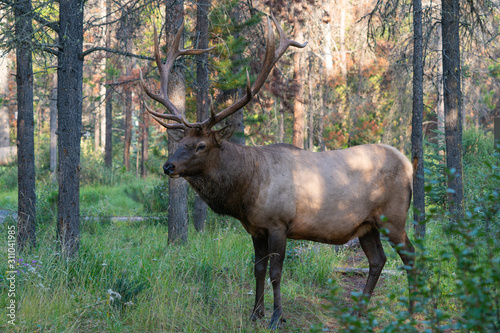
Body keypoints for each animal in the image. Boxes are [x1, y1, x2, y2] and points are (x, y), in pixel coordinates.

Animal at [140, 13, 414, 330]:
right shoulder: (255, 228)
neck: (246, 189)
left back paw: (412, 310)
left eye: (200, 145)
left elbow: (276, 272)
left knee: (410, 256)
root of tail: (409, 164)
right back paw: (359, 312)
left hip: (394, 217)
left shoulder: (278, 223)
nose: (168, 166)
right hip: (367, 224)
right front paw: (255, 313)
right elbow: (257, 270)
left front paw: (276, 317)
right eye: (180, 141)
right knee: (378, 260)